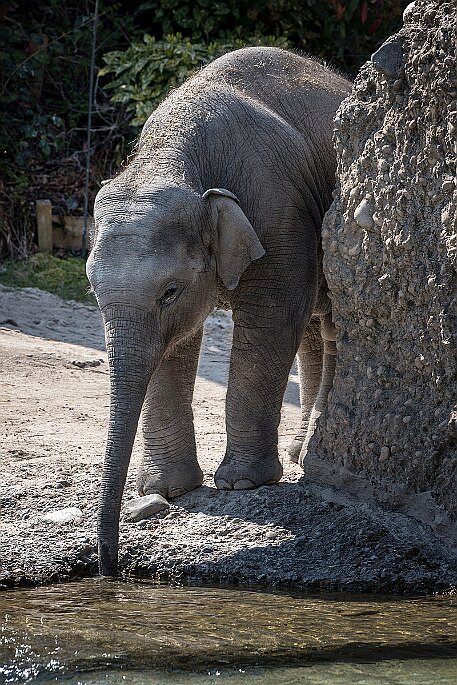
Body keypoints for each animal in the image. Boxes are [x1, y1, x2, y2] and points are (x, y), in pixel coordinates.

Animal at [87, 47, 351, 575]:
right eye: (92, 287)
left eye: (169, 291)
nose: (109, 567)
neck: (173, 156)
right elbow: (174, 346)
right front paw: (167, 489)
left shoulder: (278, 211)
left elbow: (272, 318)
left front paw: (241, 484)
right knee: (316, 330)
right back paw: (302, 453)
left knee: (331, 324)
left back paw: (309, 454)